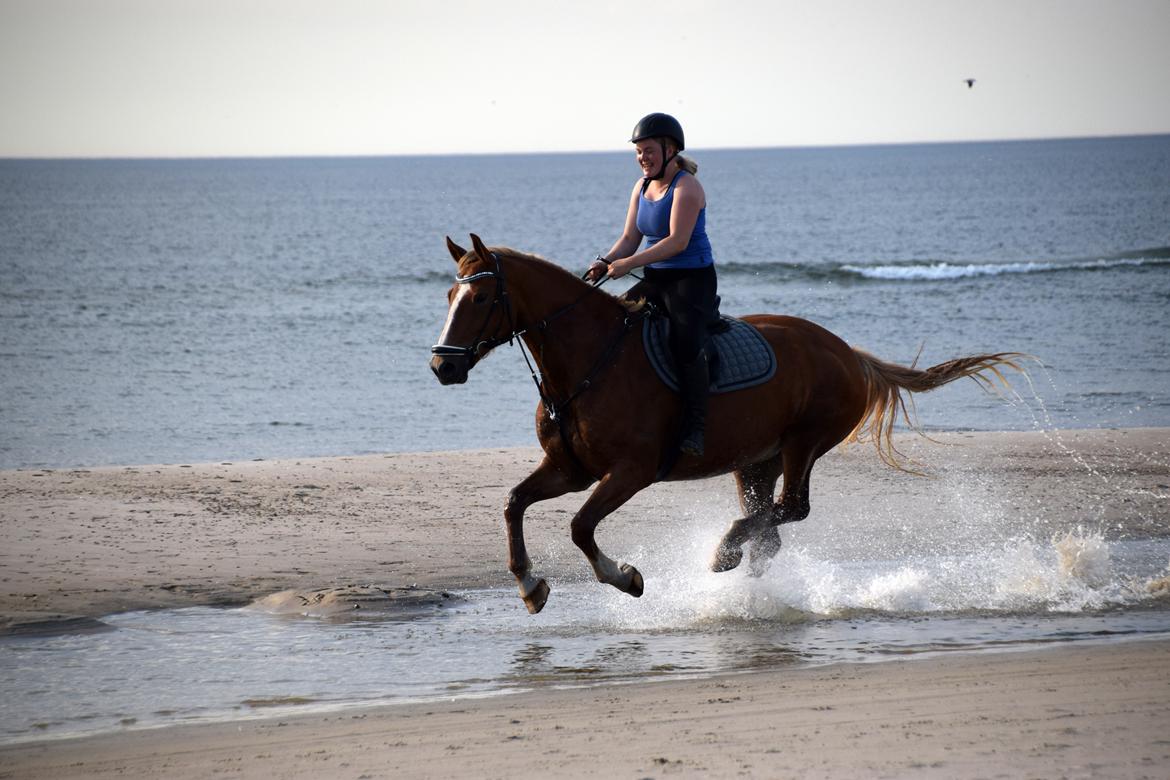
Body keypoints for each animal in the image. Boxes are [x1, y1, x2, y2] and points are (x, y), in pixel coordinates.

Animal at [432, 235, 1024, 612]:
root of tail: (848, 353)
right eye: (450, 294)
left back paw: (725, 551)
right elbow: (513, 503)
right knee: (771, 528)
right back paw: (744, 574)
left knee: (791, 509)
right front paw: (530, 586)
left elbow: (580, 527)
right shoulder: (570, 469)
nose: (443, 366)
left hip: (804, 442)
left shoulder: (630, 472)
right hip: (755, 460)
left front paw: (624, 578)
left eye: (480, 297)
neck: (588, 362)